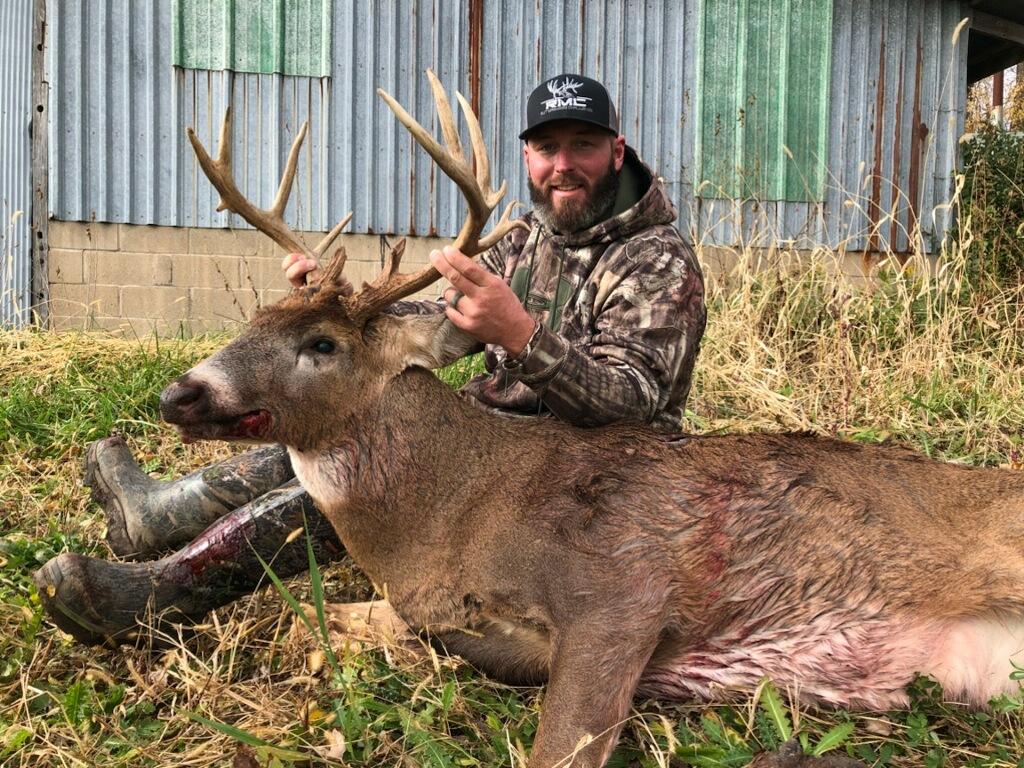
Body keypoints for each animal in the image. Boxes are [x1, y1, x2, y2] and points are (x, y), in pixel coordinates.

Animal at [161, 72, 1024, 768]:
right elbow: (298, 618)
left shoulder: (621, 587)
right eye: (254, 320)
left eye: (322, 343)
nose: (180, 395)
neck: (450, 517)